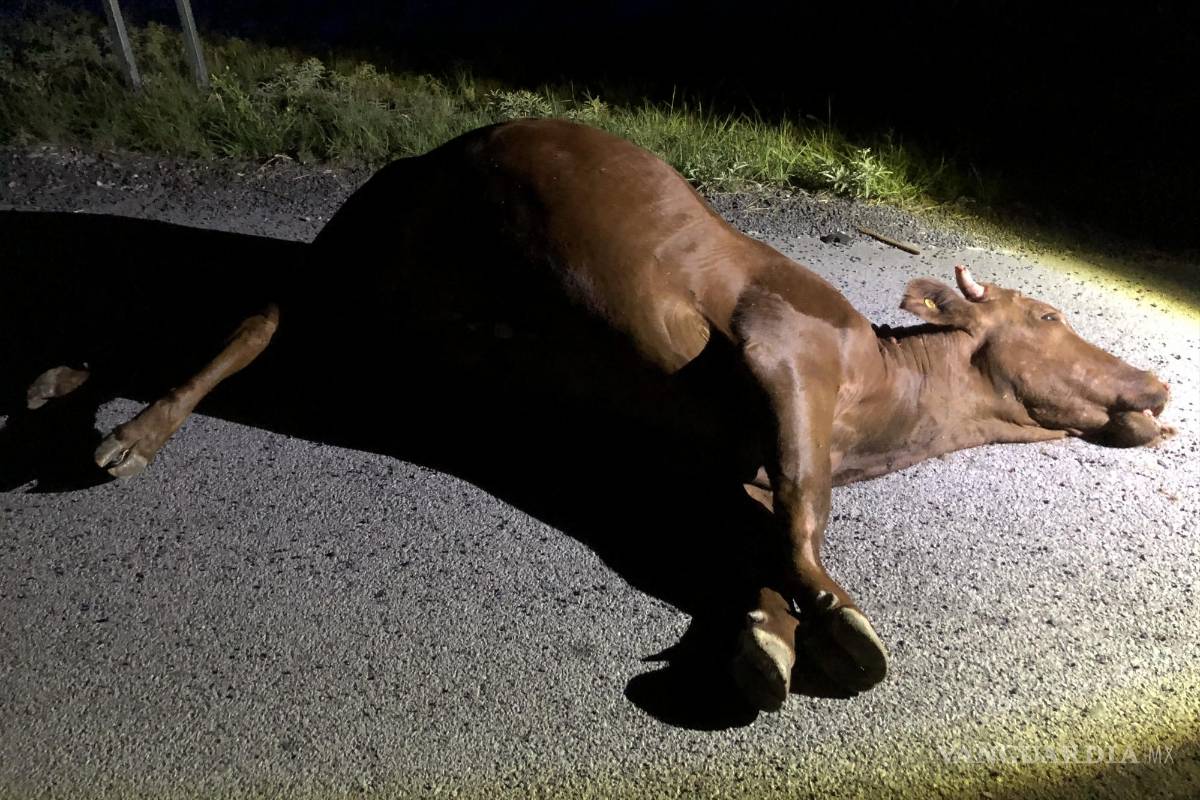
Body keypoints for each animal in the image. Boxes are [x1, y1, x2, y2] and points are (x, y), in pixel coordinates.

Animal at [26, 118, 1172, 711]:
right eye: (1047, 313)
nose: (1158, 386)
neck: (882, 416)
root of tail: (425, 151)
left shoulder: (714, 465)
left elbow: (761, 533)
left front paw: (766, 631)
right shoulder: (781, 352)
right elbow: (802, 515)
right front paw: (834, 617)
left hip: (401, 318)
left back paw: (61, 382)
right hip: (374, 251)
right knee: (254, 315)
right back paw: (128, 433)